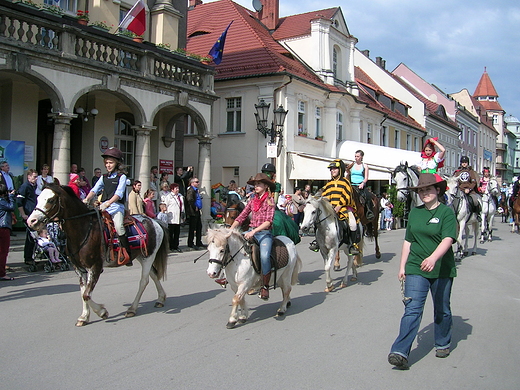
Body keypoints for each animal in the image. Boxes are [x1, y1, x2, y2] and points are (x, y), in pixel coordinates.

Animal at [26, 184, 169, 324]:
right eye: (38, 198)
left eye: (50, 200)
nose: (31, 221)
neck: (83, 230)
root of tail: (154, 222)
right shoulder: (79, 269)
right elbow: (83, 293)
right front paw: (84, 317)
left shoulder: (94, 267)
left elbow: (86, 295)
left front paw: (101, 312)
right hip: (142, 256)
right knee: (154, 275)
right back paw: (160, 299)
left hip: (148, 257)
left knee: (144, 281)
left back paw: (132, 309)